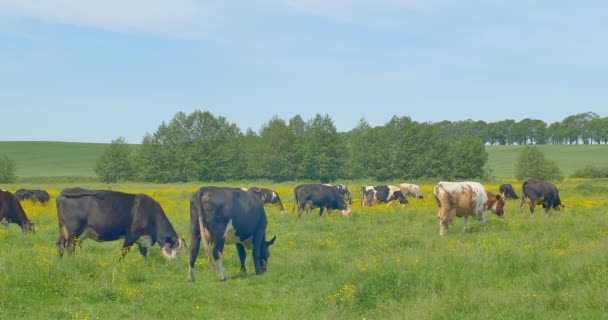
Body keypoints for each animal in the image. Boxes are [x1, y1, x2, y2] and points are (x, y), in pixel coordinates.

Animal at [55, 188, 186, 260]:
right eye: (177, 251)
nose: (176, 265)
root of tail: (63, 194)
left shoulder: (142, 237)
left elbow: (143, 252)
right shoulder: (132, 234)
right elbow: (124, 251)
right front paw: (118, 266)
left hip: (63, 229)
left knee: (60, 245)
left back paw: (59, 263)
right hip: (74, 231)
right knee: (70, 247)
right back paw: (72, 263)